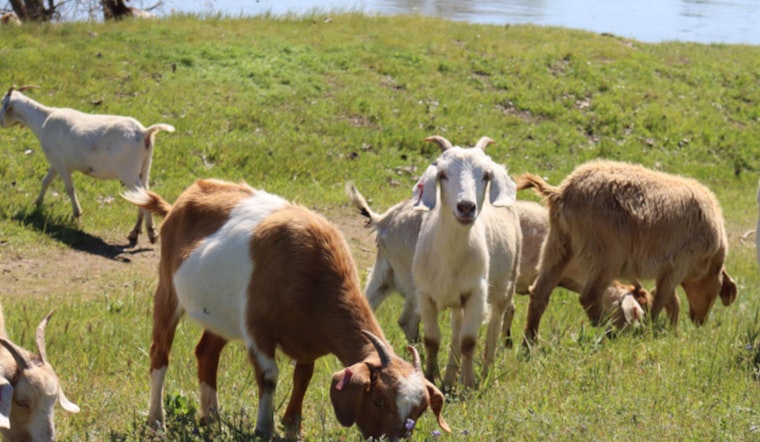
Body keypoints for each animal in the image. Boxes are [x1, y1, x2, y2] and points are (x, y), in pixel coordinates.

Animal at [0, 85, 175, 245]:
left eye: (3, 102)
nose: (1, 123)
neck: (44, 119)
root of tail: (145, 132)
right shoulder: (56, 162)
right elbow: (46, 181)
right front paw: (37, 203)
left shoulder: (59, 162)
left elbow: (69, 188)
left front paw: (77, 214)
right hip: (144, 169)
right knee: (144, 196)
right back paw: (136, 232)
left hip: (129, 173)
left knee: (143, 196)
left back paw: (150, 233)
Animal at [122, 179, 450, 441]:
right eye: (378, 400)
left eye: (419, 410)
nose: (394, 438)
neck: (313, 275)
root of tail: (179, 202)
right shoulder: (258, 331)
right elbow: (269, 376)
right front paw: (264, 429)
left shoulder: (308, 342)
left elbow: (303, 376)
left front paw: (292, 426)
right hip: (168, 292)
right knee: (160, 353)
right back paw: (157, 421)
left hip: (221, 317)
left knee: (206, 353)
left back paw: (211, 418)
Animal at [346, 185, 650, 344]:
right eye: (633, 312)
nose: (624, 340)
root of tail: (385, 220)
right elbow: (511, 309)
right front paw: (507, 342)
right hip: (414, 282)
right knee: (407, 319)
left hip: (383, 274)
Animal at [410, 135, 521, 389]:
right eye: (442, 174)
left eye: (486, 176)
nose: (467, 207)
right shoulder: (424, 294)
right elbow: (432, 340)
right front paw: (431, 379)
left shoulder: (476, 292)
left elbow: (469, 341)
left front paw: (468, 385)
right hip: (456, 300)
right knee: (455, 329)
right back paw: (450, 378)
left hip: (506, 285)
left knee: (493, 328)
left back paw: (487, 377)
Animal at [518, 160, 738, 344]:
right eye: (718, 291)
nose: (699, 321)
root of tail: (561, 192)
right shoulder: (680, 263)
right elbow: (662, 299)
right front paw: (650, 329)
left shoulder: (668, 268)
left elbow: (669, 300)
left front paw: (669, 329)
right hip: (607, 253)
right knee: (589, 296)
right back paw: (610, 330)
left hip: (558, 244)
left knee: (539, 293)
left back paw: (530, 343)